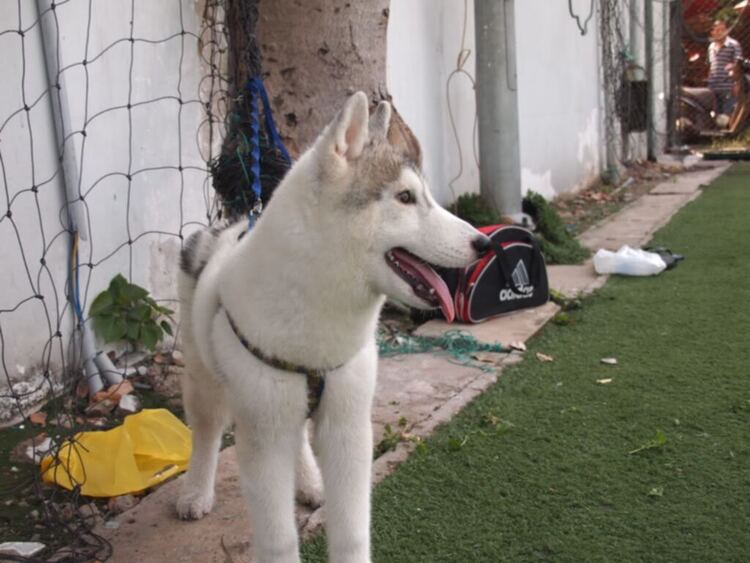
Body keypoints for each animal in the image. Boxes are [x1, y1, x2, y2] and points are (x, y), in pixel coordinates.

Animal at [178, 93, 490, 563]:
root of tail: (224, 229)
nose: (484, 243)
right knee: (208, 433)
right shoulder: (264, 440)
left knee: (298, 439)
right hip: (206, 383)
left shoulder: (349, 428)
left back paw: (309, 482)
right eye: (405, 197)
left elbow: (352, 533)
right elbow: (279, 539)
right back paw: (197, 492)